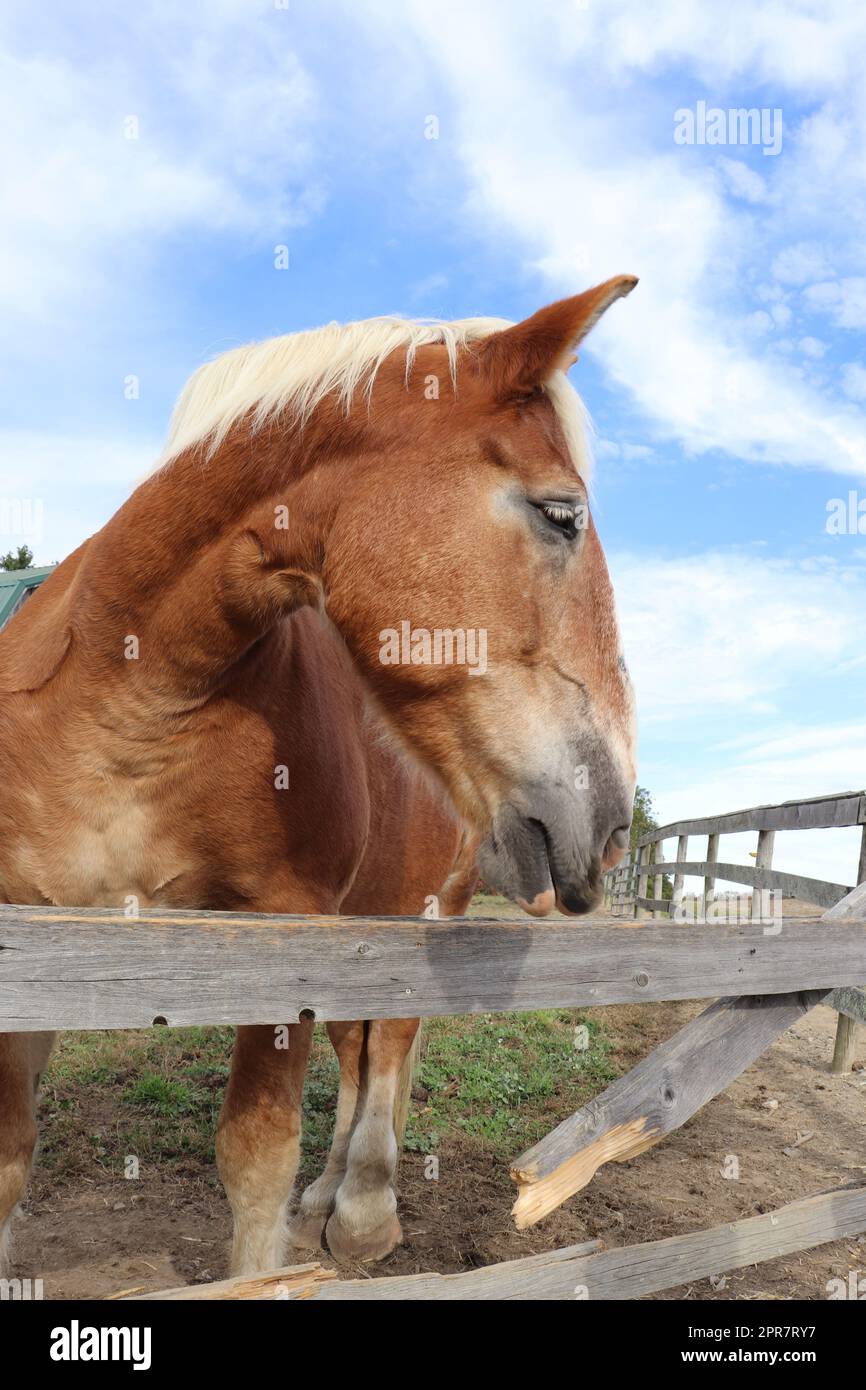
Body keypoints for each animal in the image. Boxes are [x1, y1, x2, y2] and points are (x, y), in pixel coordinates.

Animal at [0, 273, 636, 1278]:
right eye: (560, 513)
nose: (610, 823)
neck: (129, 698)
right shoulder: (32, 938)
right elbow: (11, 1159)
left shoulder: (283, 928)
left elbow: (256, 1158)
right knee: (360, 1045)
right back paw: (331, 1200)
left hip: (424, 906)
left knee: (392, 1044)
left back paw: (365, 1207)